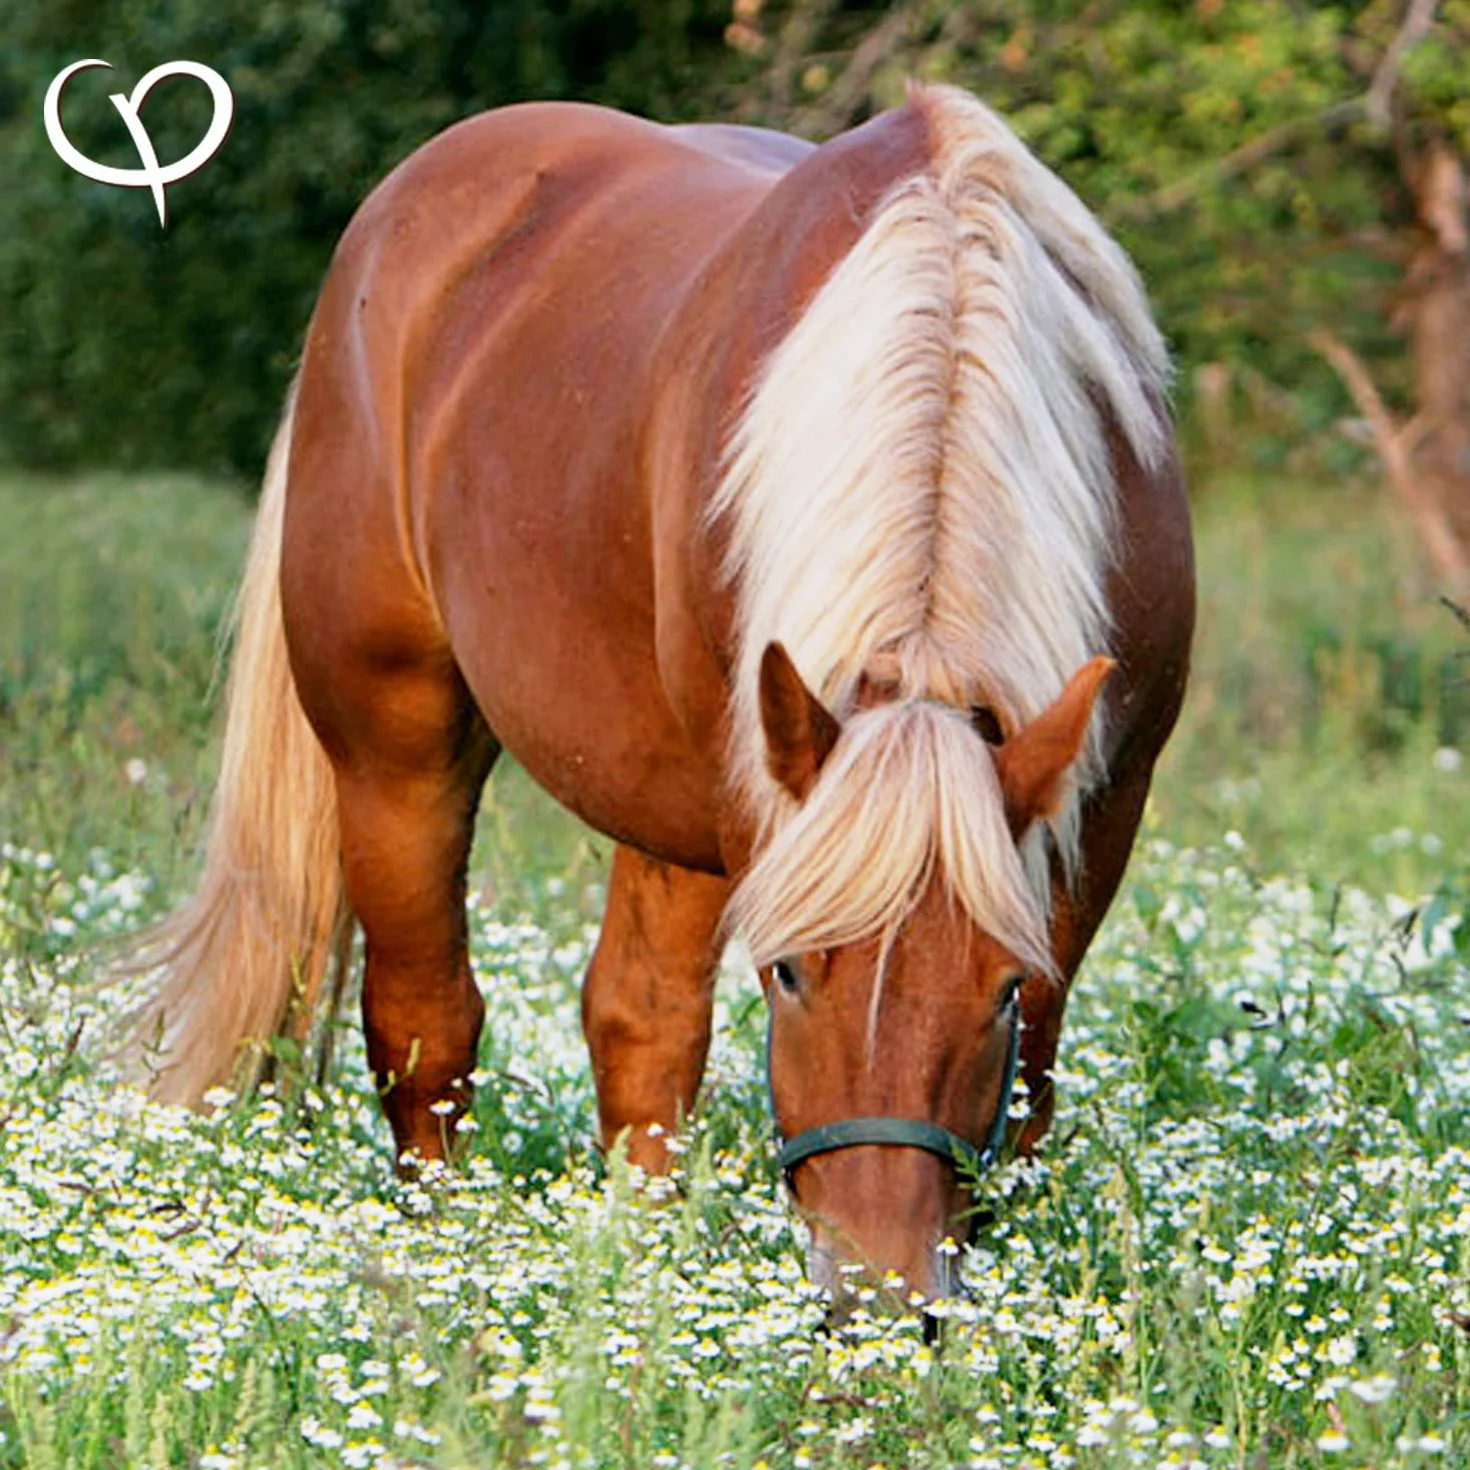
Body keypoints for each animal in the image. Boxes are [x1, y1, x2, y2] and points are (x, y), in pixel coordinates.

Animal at [126, 84, 1194, 1303]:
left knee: (633, 1027)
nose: (876, 1299)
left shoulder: (1100, 807)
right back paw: (446, 1263)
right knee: (430, 1025)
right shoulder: (754, 791)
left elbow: (1030, 1084)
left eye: (1002, 988)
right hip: (397, 749)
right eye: (787, 972)